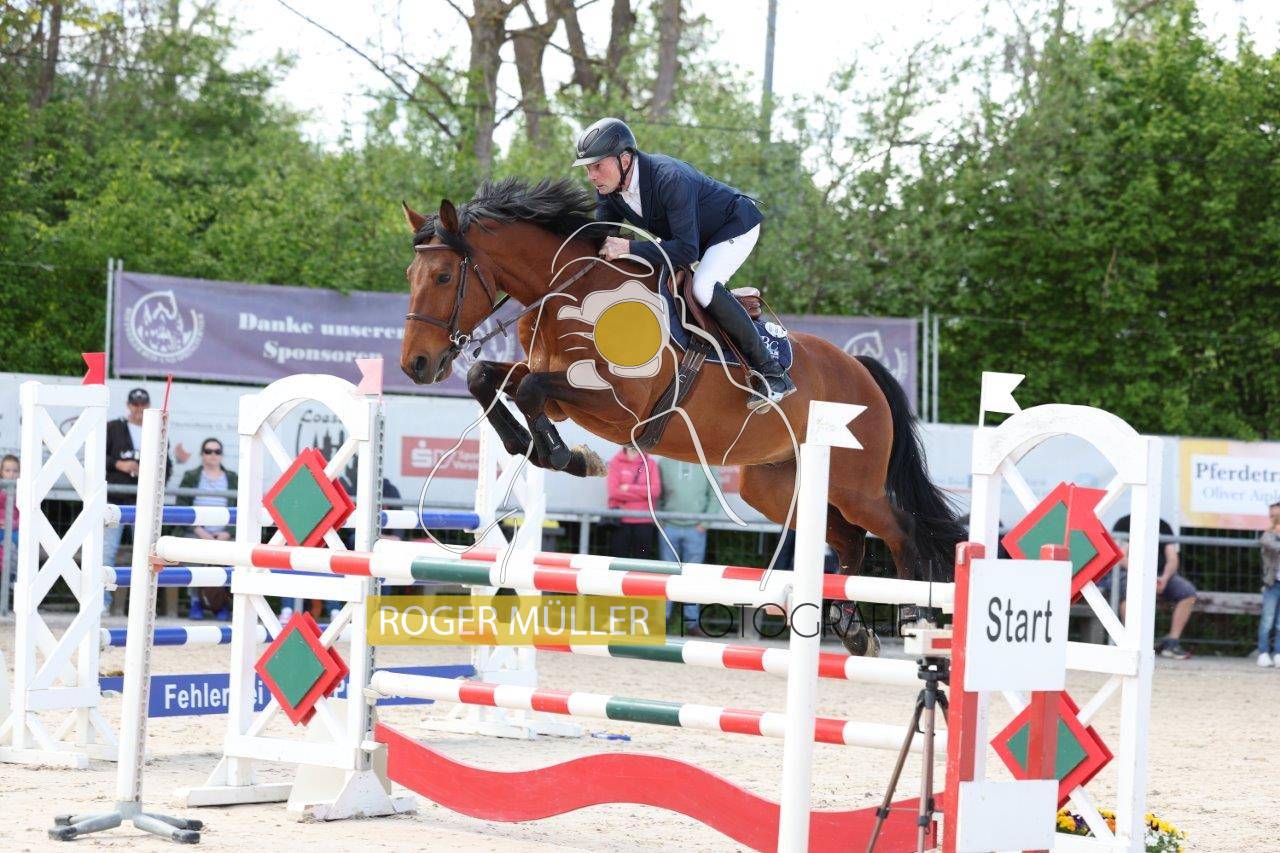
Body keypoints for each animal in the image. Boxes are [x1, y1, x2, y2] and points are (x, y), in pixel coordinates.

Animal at [399, 177, 964, 655]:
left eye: (444, 275)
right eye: (411, 275)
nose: (416, 364)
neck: (571, 293)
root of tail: (862, 369)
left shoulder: (617, 403)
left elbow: (532, 391)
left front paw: (565, 455)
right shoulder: (559, 387)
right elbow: (488, 379)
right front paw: (546, 450)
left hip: (856, 485)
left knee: (900, 531)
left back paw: (912, 618)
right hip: (774, 486)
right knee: (847, 539)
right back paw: (852, 629)